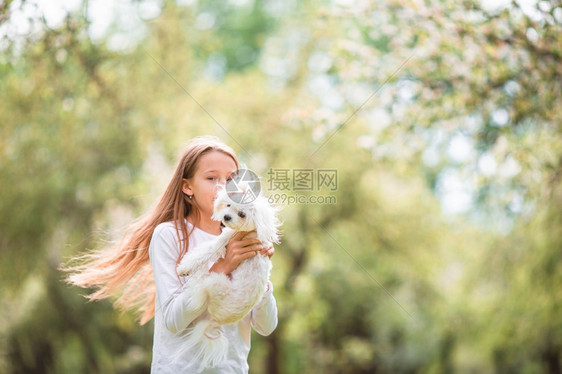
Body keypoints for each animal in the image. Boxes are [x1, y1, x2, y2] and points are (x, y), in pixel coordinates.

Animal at [175, 182, 280, 372]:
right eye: (229, 204)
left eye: (242, 214)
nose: (226, 217)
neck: (252, 230)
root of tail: (217, 319)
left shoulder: (224, 240)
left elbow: (206, 250)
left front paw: (185, 266)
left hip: (215, 282)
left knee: (200, 282)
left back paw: (196, 274)